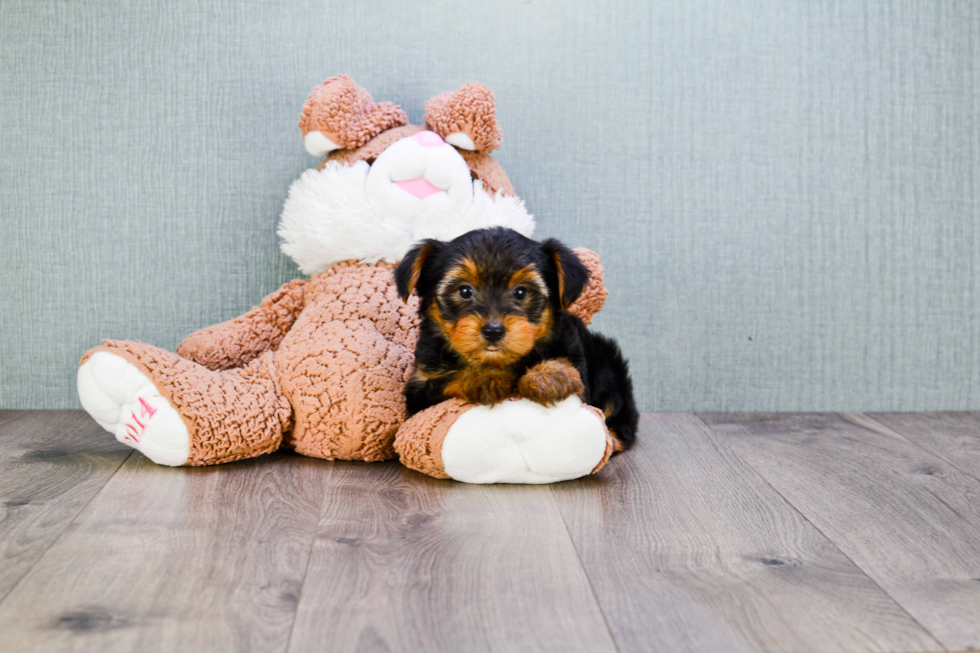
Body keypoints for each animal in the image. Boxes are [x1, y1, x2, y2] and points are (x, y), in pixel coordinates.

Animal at [394, 227, 640, 450]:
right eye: (464, 291)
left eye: (521, 292)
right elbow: (446, 380)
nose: (493, 330)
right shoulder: (420, 388)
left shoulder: (577, 367)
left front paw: (549, 375)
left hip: (607, 366)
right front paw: (483, 377)